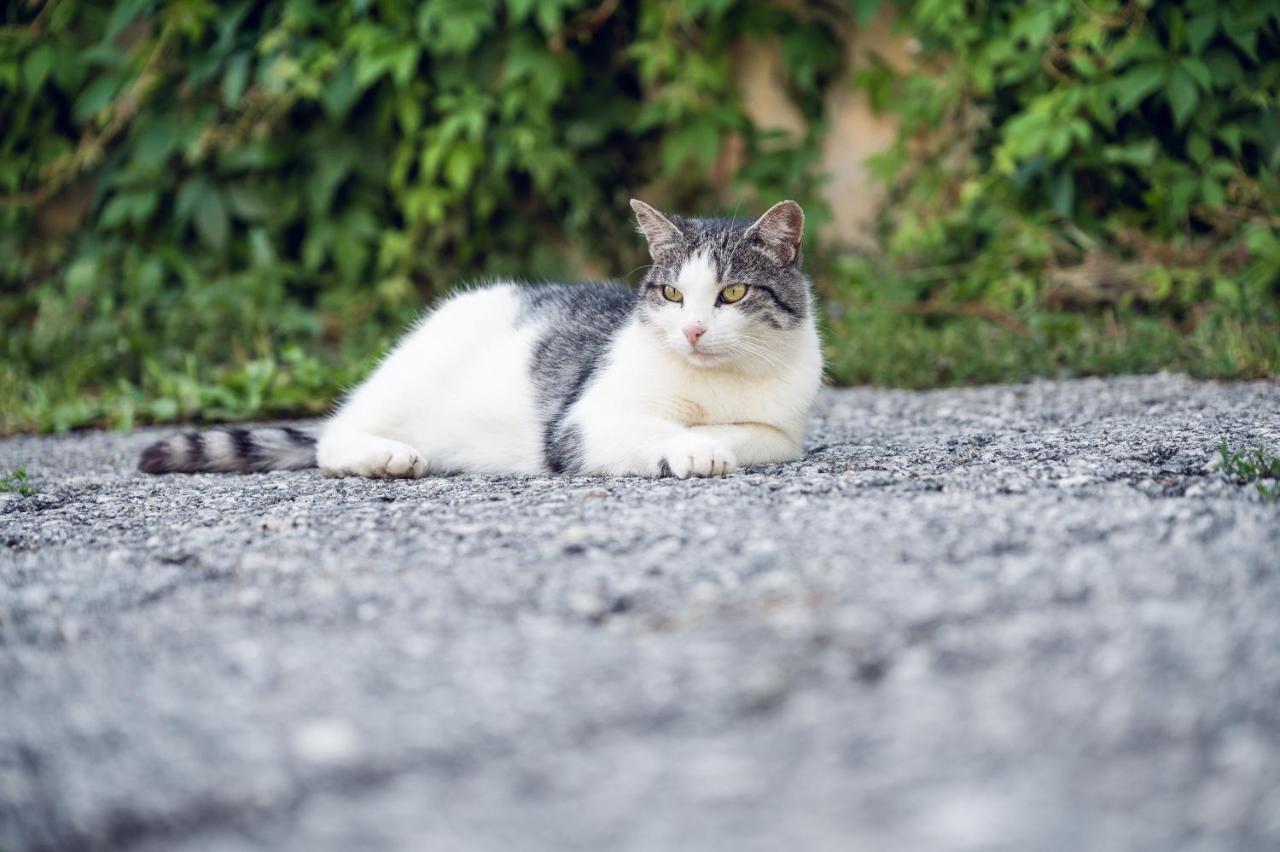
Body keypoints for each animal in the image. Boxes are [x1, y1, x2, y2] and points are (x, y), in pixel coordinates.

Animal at [137, 199, 819, 478]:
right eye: (674, 295)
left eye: (733, 293)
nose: (694, 330)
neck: (711, 386)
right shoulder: (580, 425)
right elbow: (657, 430)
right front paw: (691, 448)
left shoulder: (781, 434)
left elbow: (750, 437)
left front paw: (711, 439)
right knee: (333, 435)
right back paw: (384, 457)